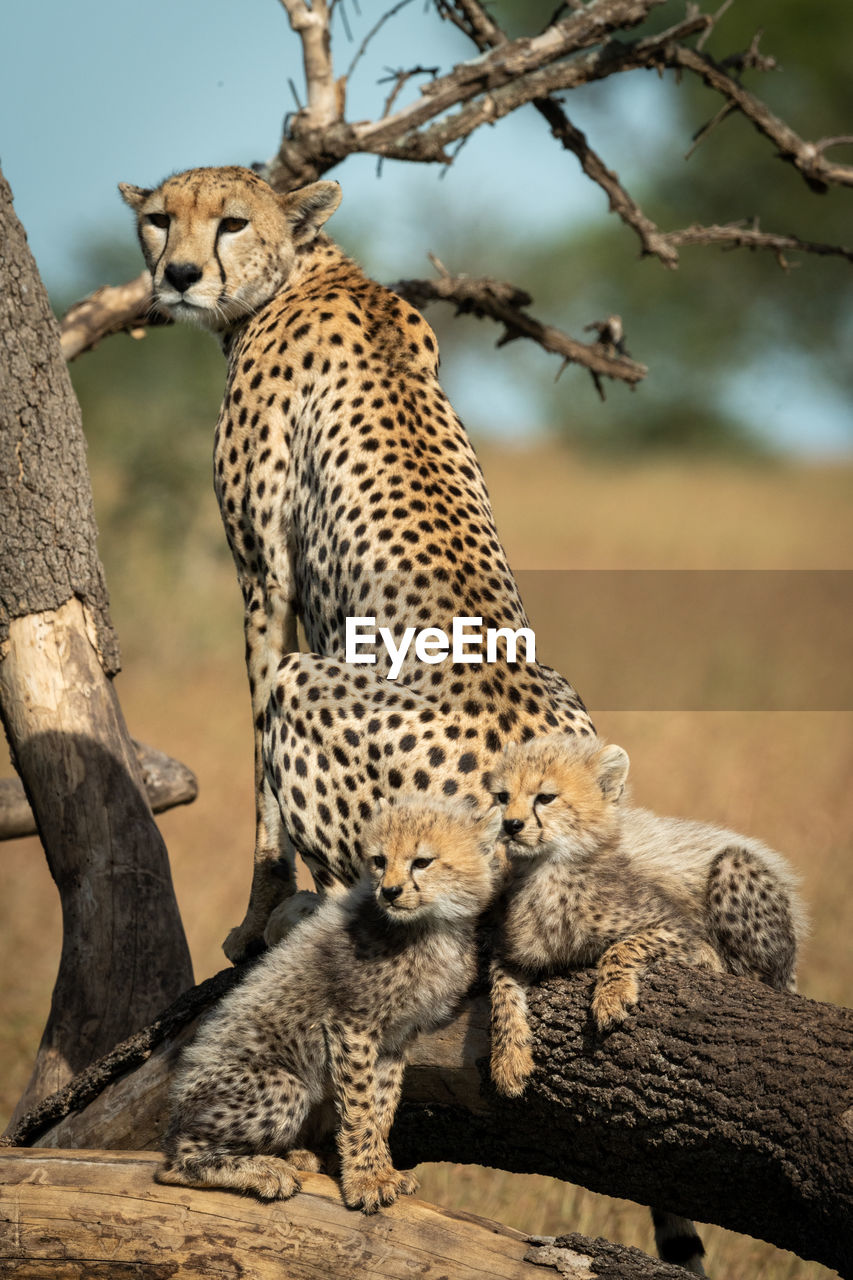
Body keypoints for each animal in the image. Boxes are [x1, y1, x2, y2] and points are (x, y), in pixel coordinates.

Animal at [119, 165, 589, 957]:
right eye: (159, 219)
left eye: (231, 222)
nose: (179, 275)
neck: (305, 272)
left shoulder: (264, 578)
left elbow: (260, 779)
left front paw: (255, 920)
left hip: (307, 686)